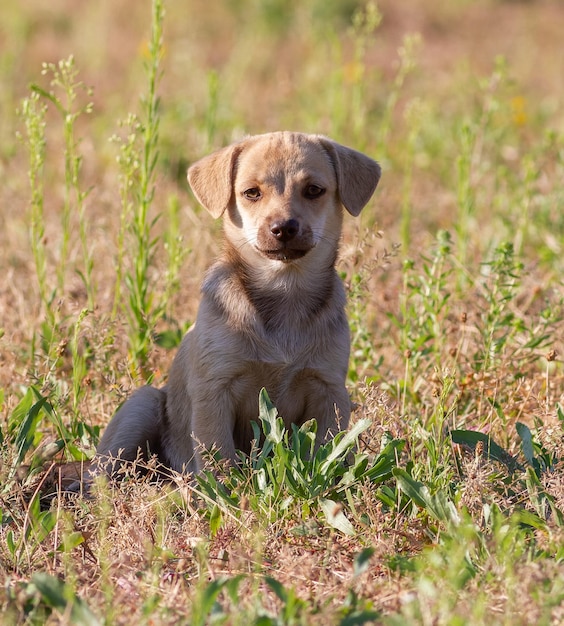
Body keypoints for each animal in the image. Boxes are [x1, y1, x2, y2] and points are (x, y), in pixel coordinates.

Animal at [94, 132, 382, 472]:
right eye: (251, 193)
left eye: (314, 190)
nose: (283, 228)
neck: (284, 290)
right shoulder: (215, 390)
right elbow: (219, 457)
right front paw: (226, 486)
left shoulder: (329, 389)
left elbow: (327, 449)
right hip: (140, 407)